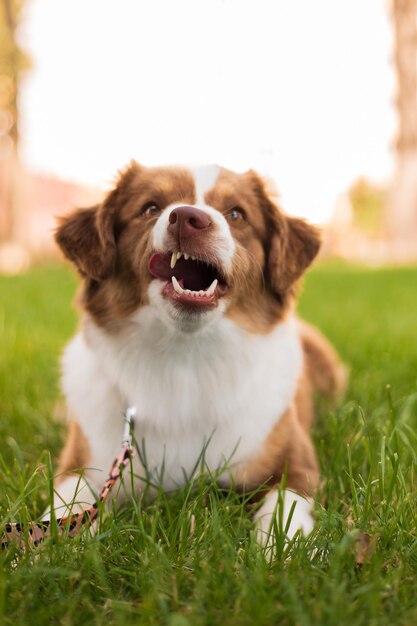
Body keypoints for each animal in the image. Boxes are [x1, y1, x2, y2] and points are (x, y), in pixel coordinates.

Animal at [52, 160, 344, 540]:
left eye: (236, 214)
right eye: (151, 208)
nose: (188, 218)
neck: (185, 360)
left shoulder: (296, 462)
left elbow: (284, 505)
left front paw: (278, 548)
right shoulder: (81, 462)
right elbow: (66, 506)